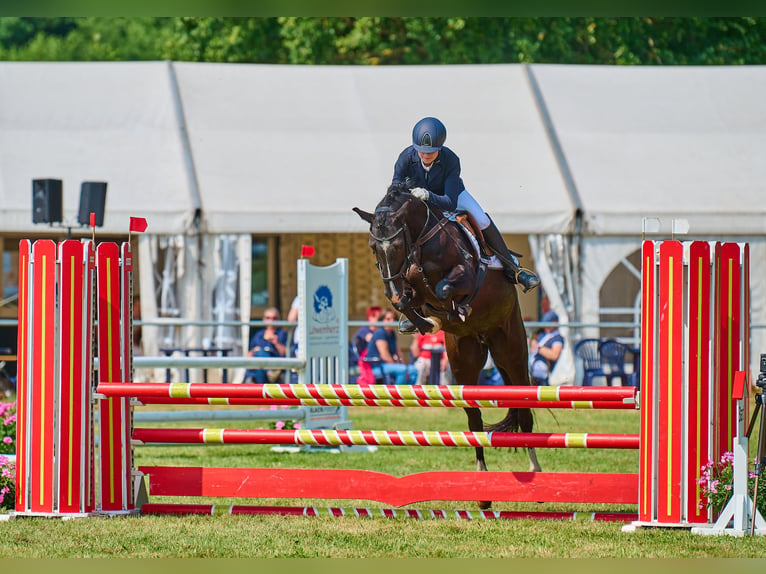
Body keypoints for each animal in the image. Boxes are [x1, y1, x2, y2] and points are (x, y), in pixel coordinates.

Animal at [356, 182, 544, 510]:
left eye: (398, 246)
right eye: (372, 247)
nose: (392, 289)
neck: (422, 242)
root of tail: (484, 337)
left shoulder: (462, 276)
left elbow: (443, 288)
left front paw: (449, 309)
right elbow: (409, 300)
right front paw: (423, 321)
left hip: (511, 349)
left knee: (524, 411)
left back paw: (535, 472)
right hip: (463, 361)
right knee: (475, 421)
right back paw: (482, 489)